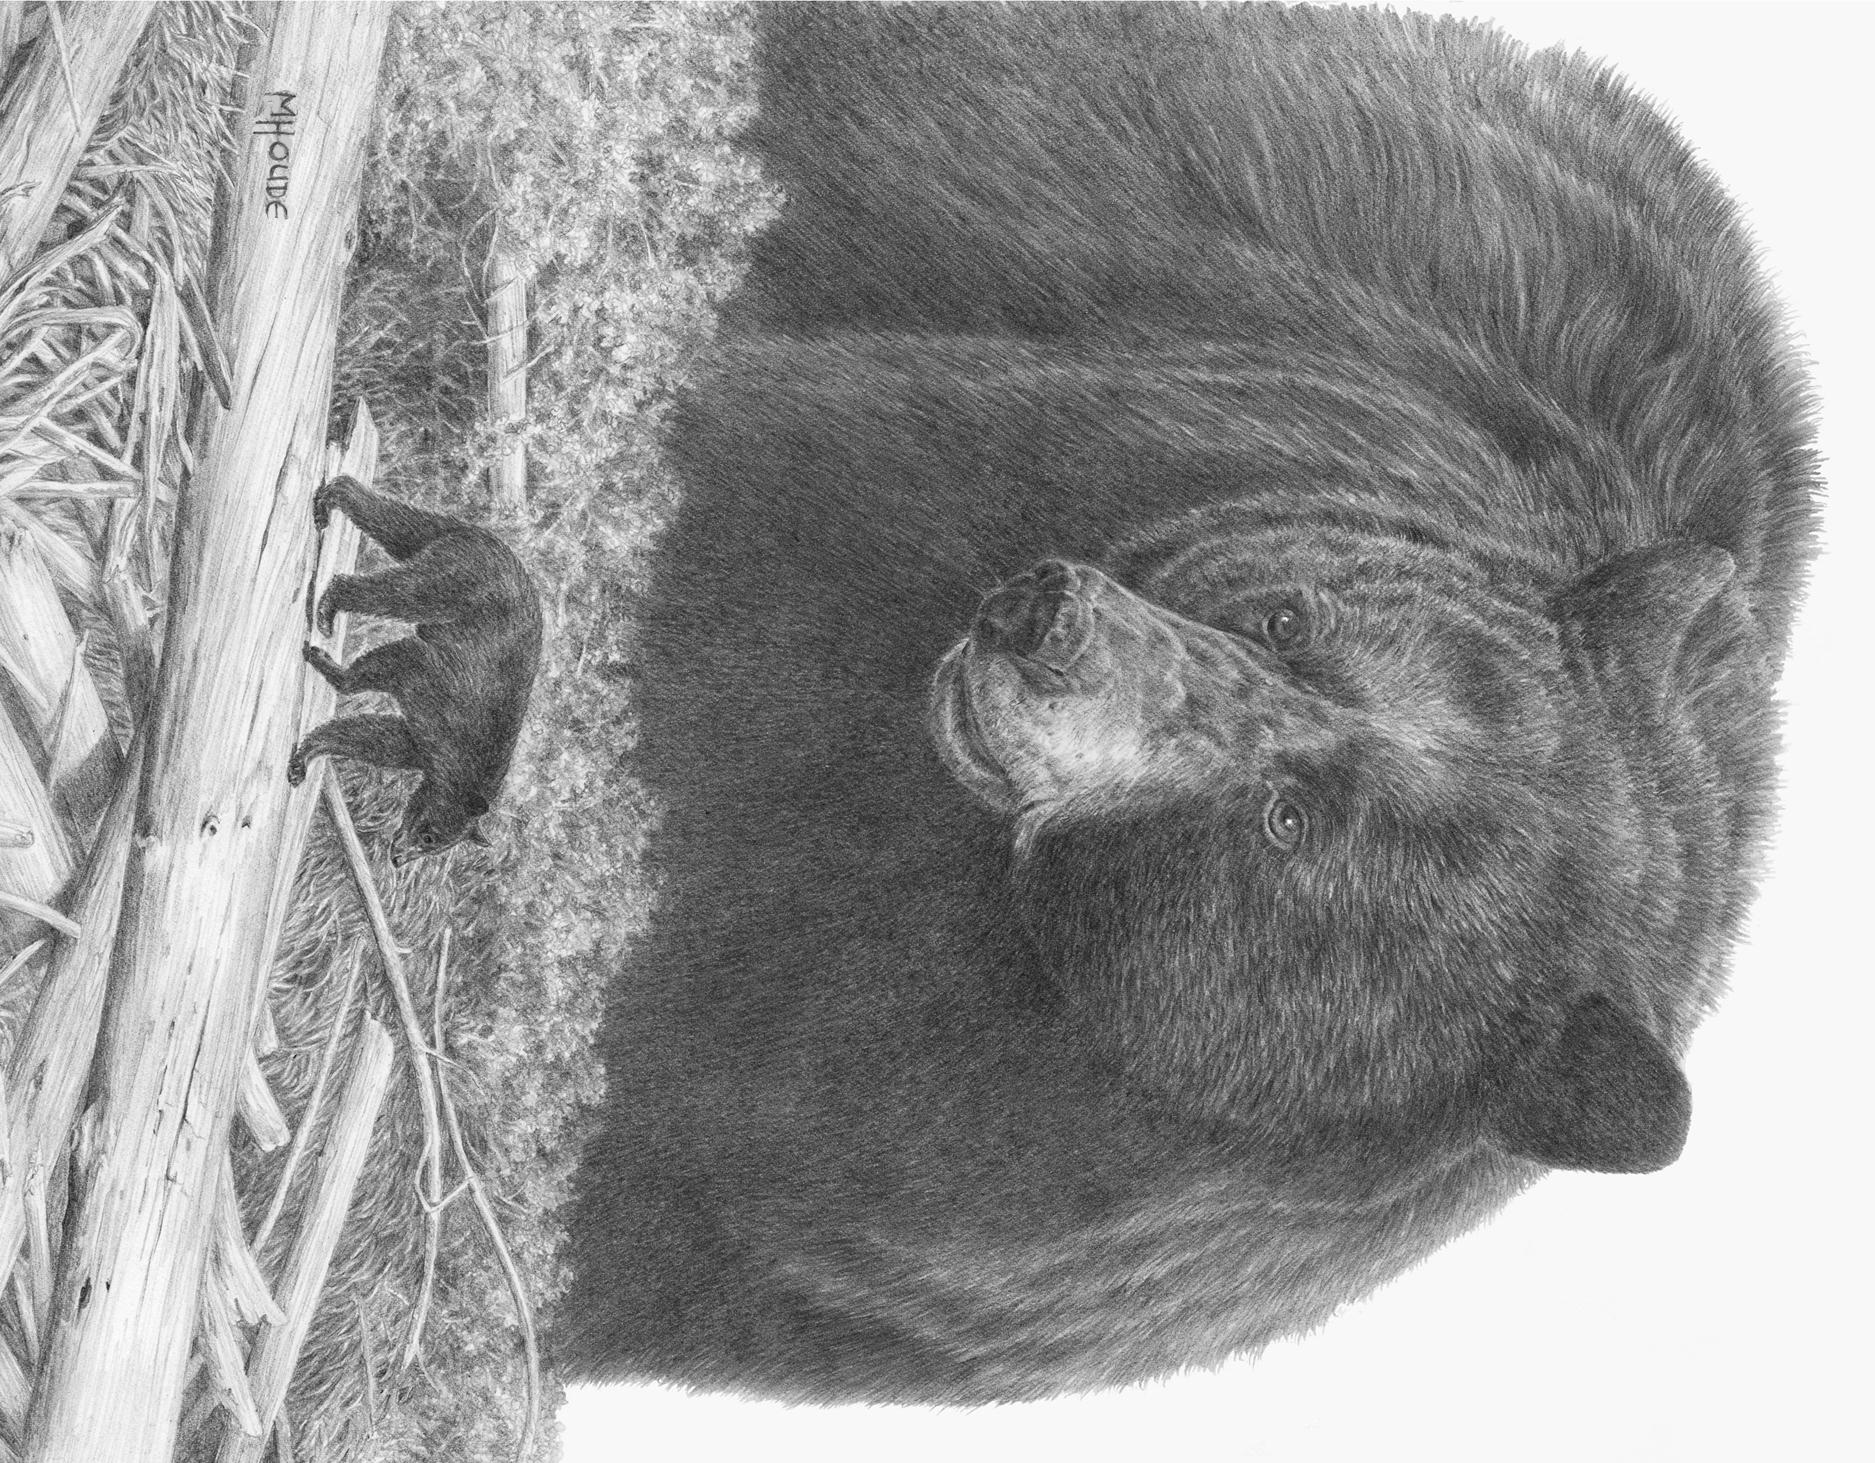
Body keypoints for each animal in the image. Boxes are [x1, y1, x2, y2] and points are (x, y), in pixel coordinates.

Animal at [287, 474, 543, 863]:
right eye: (429, 836)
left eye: (432, 847)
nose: (398, 858)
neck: (458, 768)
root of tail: (485, 538)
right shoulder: (447, 702)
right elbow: (403, 660)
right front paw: (332, 669)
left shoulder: (427, 746)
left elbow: (381, 738)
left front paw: (308, 753)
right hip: (455, 582)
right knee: (401, 591)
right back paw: (331, 603)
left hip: (442, 550)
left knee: (395, 524)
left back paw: (338, 493)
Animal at [561, 2, 1819, 1404]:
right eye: (1287, 621)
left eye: (1289, 823)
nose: (1044, 618)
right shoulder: (1095, 441)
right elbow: (747, 522)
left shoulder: (992, 1212)